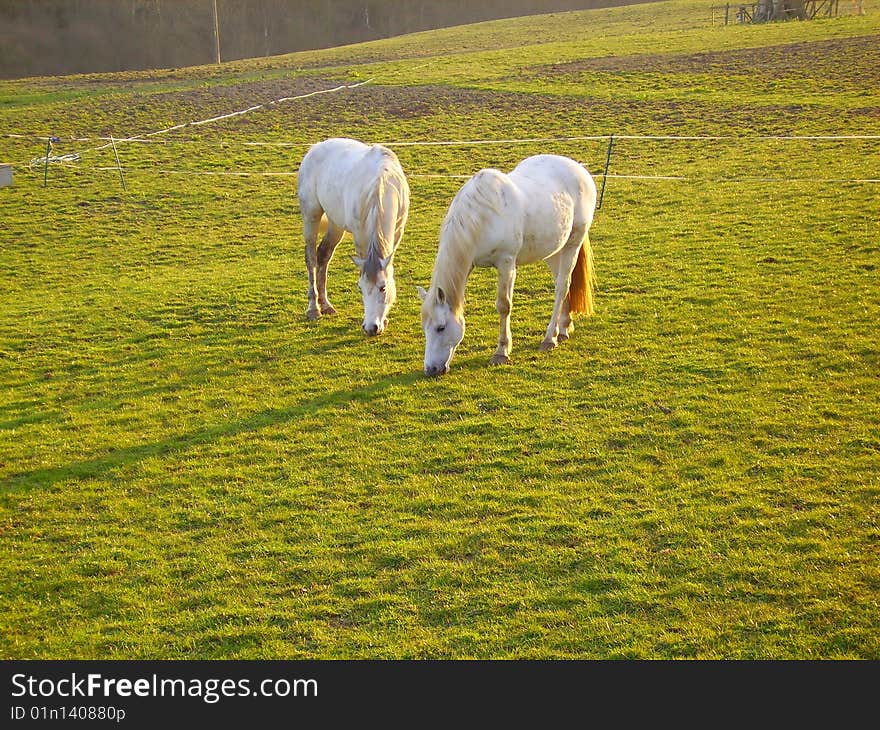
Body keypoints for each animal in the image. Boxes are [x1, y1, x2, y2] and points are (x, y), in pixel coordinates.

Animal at [294, 137, 408, 336]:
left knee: (323, 255)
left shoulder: (397, 232)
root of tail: (315, 148)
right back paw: (314, 308)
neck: (382, 186)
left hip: (335, 224)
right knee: (311, 258)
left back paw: (326, 305)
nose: (371, 328)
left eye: (383, 287)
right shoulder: (360, 237)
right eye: (360, 288)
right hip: (311, 216)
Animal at [420, 156, 600, 378]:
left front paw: (501, 352)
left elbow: (504, 305)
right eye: (425, 328)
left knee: (562, 286)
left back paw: (549, 338)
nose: (430, 369)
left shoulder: (506, 263)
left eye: (441, 327)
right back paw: (564, 328)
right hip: (554, 250)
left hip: (573, 243)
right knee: (562, 283)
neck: (482, 216)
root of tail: (580, 169)